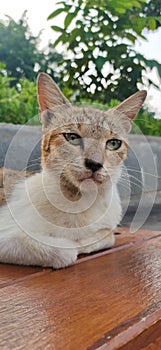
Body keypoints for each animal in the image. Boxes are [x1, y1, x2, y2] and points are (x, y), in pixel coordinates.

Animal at [0, 74, 147, 268]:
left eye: (114, 143)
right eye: (72, 137)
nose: (94, 163)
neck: (80, 203)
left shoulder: (107, 227)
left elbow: (107, 236)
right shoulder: (6, 234)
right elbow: (65, 250)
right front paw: (72, 244)